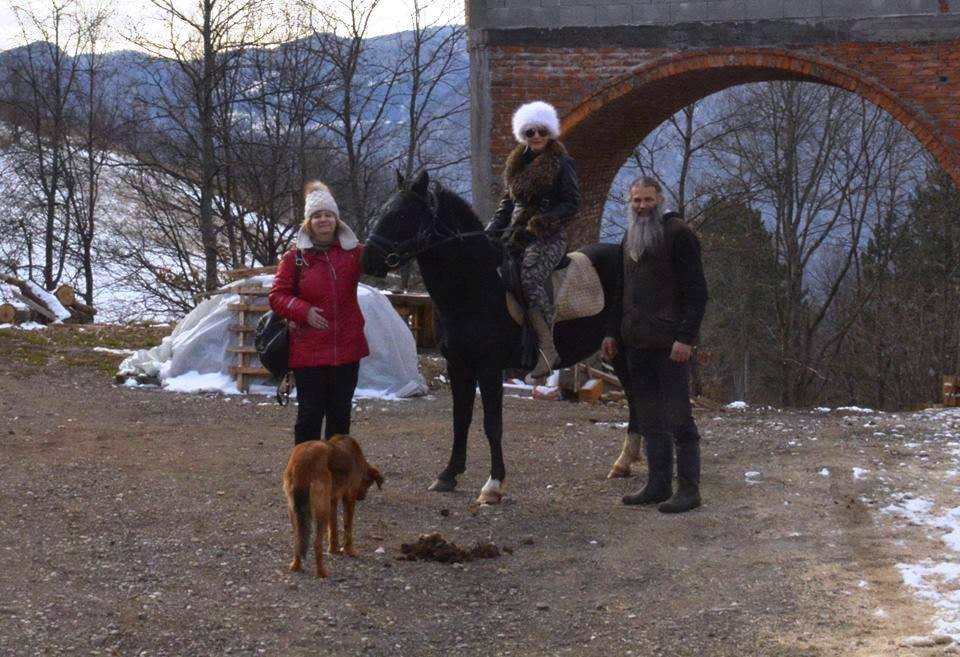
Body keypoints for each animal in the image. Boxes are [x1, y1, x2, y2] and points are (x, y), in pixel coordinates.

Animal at [282, 434, 384, 577]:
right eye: (369, 483)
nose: (362, 498)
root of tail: (302, 463)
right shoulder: (349, 497)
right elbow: (348, 527)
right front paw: (350, 550)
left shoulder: (332, 500)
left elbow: (333, 527)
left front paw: (334, 549)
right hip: (321, 508)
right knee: (316, 543)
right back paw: (321, 572)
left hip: (295, 510)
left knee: (298, 539)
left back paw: (296, 566)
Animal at [363, 169, 638, 504]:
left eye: (403, 214)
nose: (368, 258)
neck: (474, 286)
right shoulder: (459, 365)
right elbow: (460, 419)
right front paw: (449, 474)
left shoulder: (489, 367)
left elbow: (492, 424)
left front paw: (493, 486)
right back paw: (624, 463)